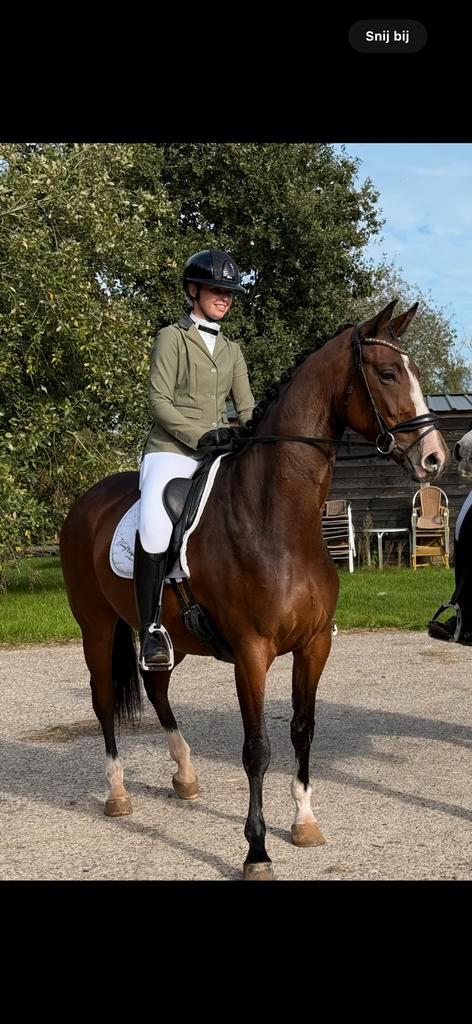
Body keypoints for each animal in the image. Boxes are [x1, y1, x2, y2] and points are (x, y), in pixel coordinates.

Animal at [59, 299, 449, 880]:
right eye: (386, 374)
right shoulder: (251, 653)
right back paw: (118, 794)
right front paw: (257, 850)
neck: (277, 518)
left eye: (416, 372)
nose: (434, 458)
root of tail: (87, 501)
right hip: (97, 627)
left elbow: (302, 729)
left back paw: (185, 776)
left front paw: (304, 823)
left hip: (166, 636)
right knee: (104, 701)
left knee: (157, 686)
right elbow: (257, 748)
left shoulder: (314, 645)